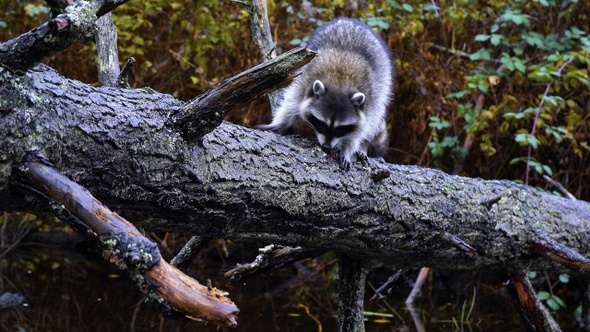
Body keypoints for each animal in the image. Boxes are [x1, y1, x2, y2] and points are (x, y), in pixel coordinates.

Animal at [260, 16, 396, 170]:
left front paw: (348, 148)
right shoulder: (304, 81)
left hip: (383, 84)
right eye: (321, 124)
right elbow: (291, 104)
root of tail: (349, 20)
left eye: (340, 129)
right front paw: (280, 122)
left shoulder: (371, 99)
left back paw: (363, 147)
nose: (326, 147)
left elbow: (362, 128)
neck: (340, 84)